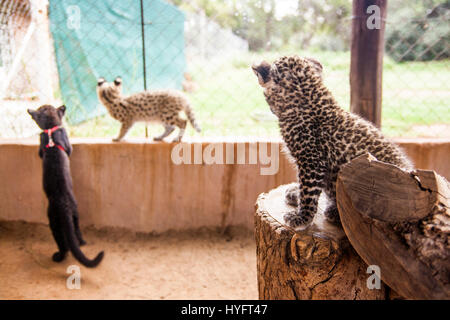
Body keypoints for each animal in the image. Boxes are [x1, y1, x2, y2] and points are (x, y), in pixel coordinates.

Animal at [27, 105, 103, 268]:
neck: (51, 129)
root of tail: (64, 204)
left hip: (53, 222)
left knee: (63, 244)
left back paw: (58, 256)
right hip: (75, 215)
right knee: (76, 235)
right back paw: (81, 243)